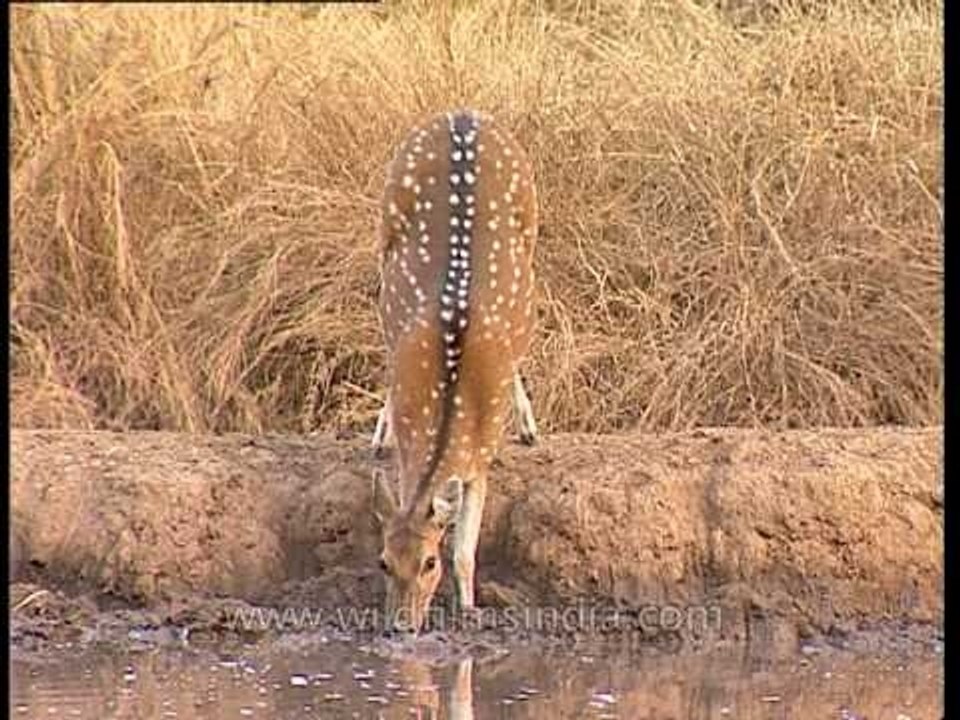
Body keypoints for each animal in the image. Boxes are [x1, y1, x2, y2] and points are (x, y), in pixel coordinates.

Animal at [370, 109, 539, 634]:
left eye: (430, 562)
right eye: (383, 562)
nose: (400, 626)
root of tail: (463, 113)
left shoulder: (480, 461)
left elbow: (466, 551)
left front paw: (469, 609)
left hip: (533, 224)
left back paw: (528, 425)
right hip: (385, 228)